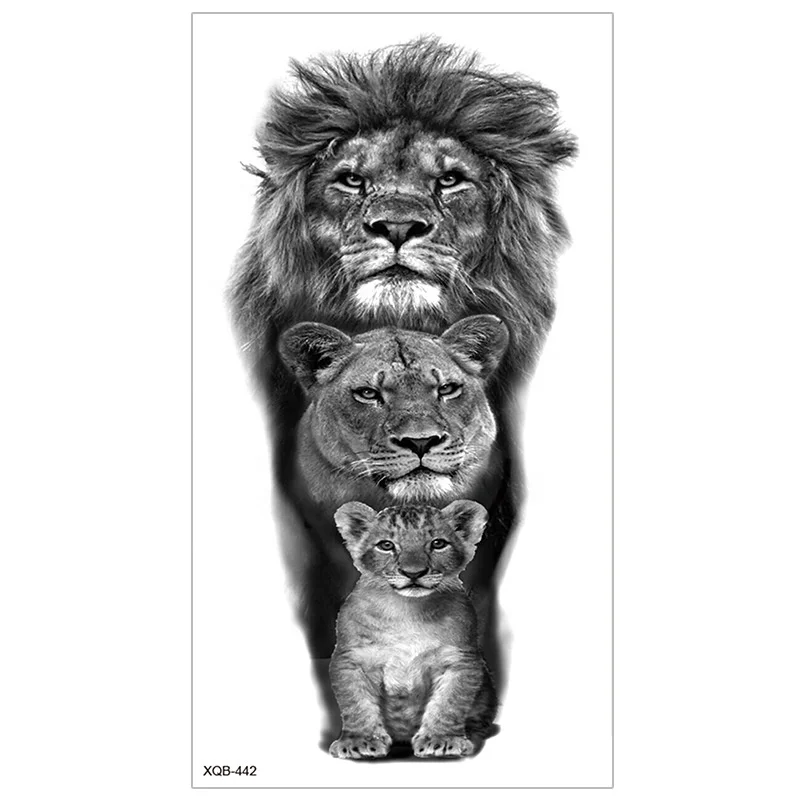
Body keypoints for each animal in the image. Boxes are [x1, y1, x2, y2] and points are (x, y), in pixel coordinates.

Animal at [329, 501, 496, 759]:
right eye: (386, 545)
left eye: (438, 543)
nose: (413, 573)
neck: (407, 611)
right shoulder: (352, 659)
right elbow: (356, 704)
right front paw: (360, 741)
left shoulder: (460, 661)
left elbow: (449, 703)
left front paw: (441, 740)